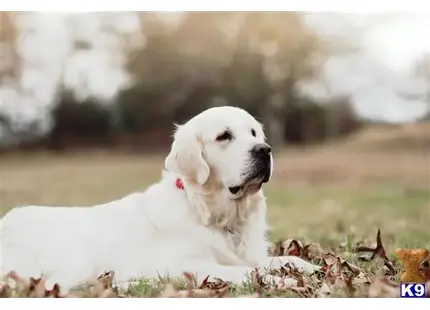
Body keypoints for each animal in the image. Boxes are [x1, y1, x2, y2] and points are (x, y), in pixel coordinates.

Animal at [0, 106, 320, 290]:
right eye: (223, 136)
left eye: (254, 132)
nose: (264, 150)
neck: (210, 212)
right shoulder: (187, 265)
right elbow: (244, 272)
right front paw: (283, 281)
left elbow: (277, 260)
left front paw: (311, 268)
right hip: (76, 260)